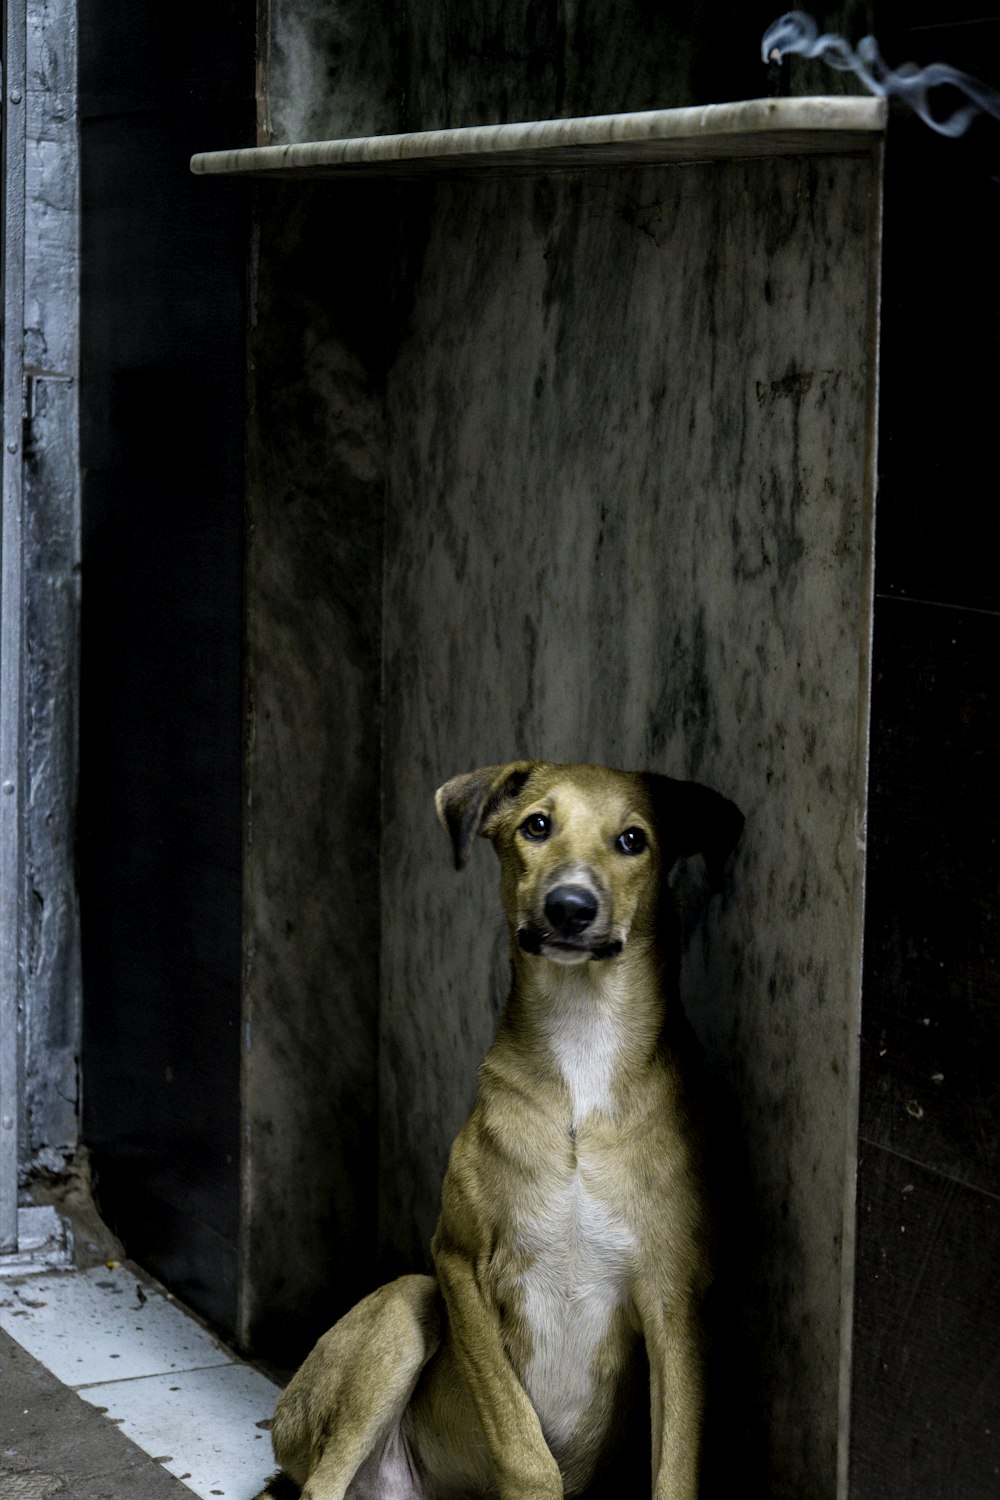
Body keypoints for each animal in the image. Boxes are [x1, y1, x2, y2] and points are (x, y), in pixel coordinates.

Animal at [265, 762, 743, 1500]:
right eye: (536, 826)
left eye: (633, 839)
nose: (570, 907)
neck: (581, 1047)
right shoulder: (458, 1262)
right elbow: (522, 1444)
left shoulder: (677, 1300)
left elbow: (675, 1466)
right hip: (407, 1303)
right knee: (324, 1482)